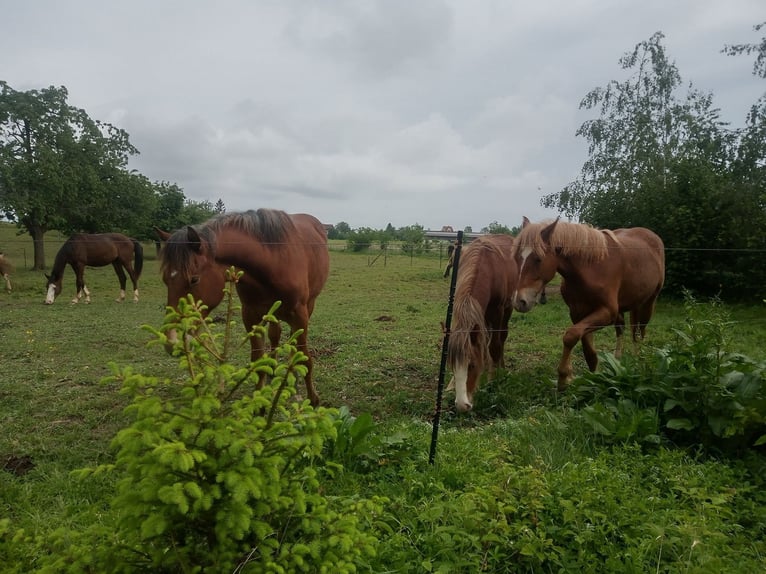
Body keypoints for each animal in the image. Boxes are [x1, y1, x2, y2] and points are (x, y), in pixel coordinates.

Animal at [158, 209, 332, 408]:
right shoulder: (250, 316)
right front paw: (259, 403)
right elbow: (257, 359)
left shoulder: (299, 316)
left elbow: (306, 357)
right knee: (275, 334)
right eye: (165, 279)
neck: (274, 261)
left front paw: (313, 398)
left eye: (194, 279)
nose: (172, 342)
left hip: (308, 306)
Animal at [448, 234, 520, 414]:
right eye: (452, 367)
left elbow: (494, 346)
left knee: (501, 339)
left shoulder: (497, 310)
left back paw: (500, 367)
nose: (462, 405)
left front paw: (492, 380)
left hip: (506, 309)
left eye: (472, 365)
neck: (486, 267)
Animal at [516, 219, 664, 392]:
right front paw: (592, 377)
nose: (520, 301)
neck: (591, 267)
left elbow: (570, 336)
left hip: (648, 302)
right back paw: (618, 360)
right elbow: (587, 350)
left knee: (640, 331)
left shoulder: (607, 312)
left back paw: (638, 359)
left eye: (538, 259)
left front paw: (563, 378)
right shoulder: (578, 313)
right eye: (517, 258)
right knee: (623, 329)